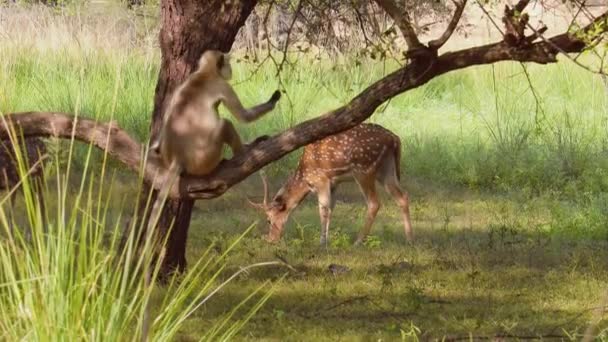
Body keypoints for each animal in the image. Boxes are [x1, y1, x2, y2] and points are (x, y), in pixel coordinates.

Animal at [139, 49, 280, 340]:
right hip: (207, 156)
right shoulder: (221, 85)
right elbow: (242, 116)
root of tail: (178, 159)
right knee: (225, 123)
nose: (230, 68)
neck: (203, 73)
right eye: (226, 63)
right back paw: (244, 152)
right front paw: (273, 99)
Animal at [248, 123, 414, 246]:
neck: (304, 176)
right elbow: (331, 208)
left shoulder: (320, 179)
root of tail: (394, 139)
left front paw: (322, 242)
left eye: (269, 219)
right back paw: (409, 238)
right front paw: (327, 239)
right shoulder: (334, 182)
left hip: (364, 169)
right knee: (403, 196)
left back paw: (358, 241)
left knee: (374, 203)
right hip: (386, 170)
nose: (270, 239)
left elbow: (323, 208)